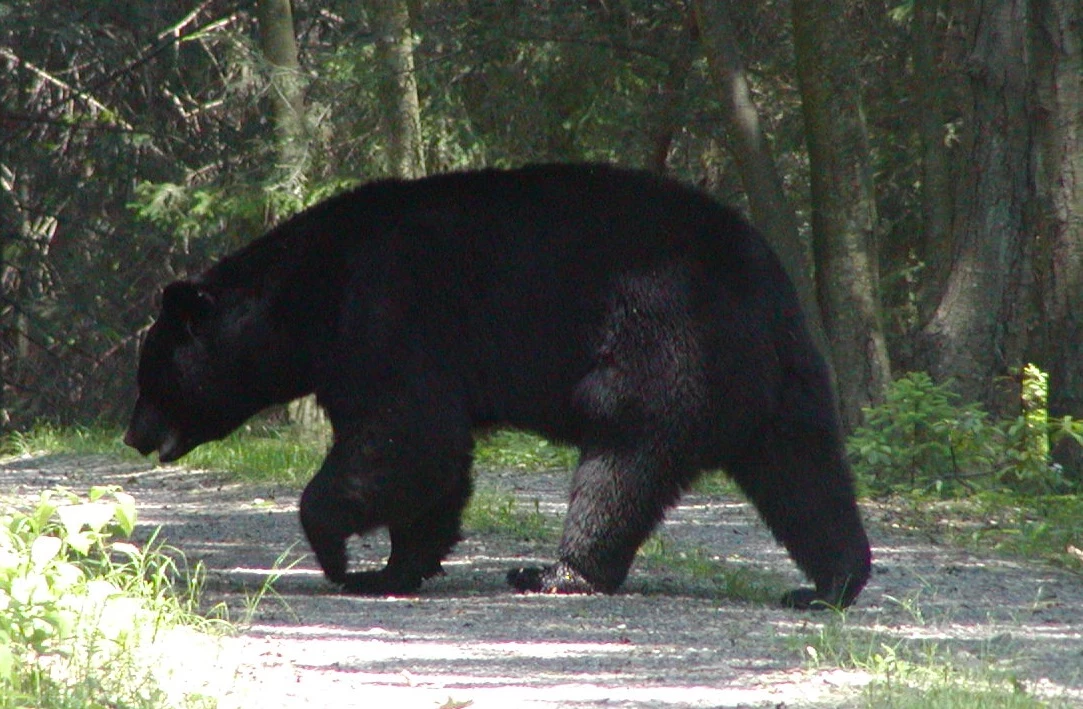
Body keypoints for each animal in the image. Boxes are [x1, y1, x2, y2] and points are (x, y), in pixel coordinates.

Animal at [124, 163, 870, 606]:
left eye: (151, 374)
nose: (132, 434)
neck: (306, 297)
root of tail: (766, 284)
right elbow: (433, 461)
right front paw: (396, 568)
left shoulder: (388, 310)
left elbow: (406, 433)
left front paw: (338, 556)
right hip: (782, 381)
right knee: (804, 476)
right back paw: (832, 582)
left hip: (663, 351)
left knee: (620, 464)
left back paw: (555, 572)